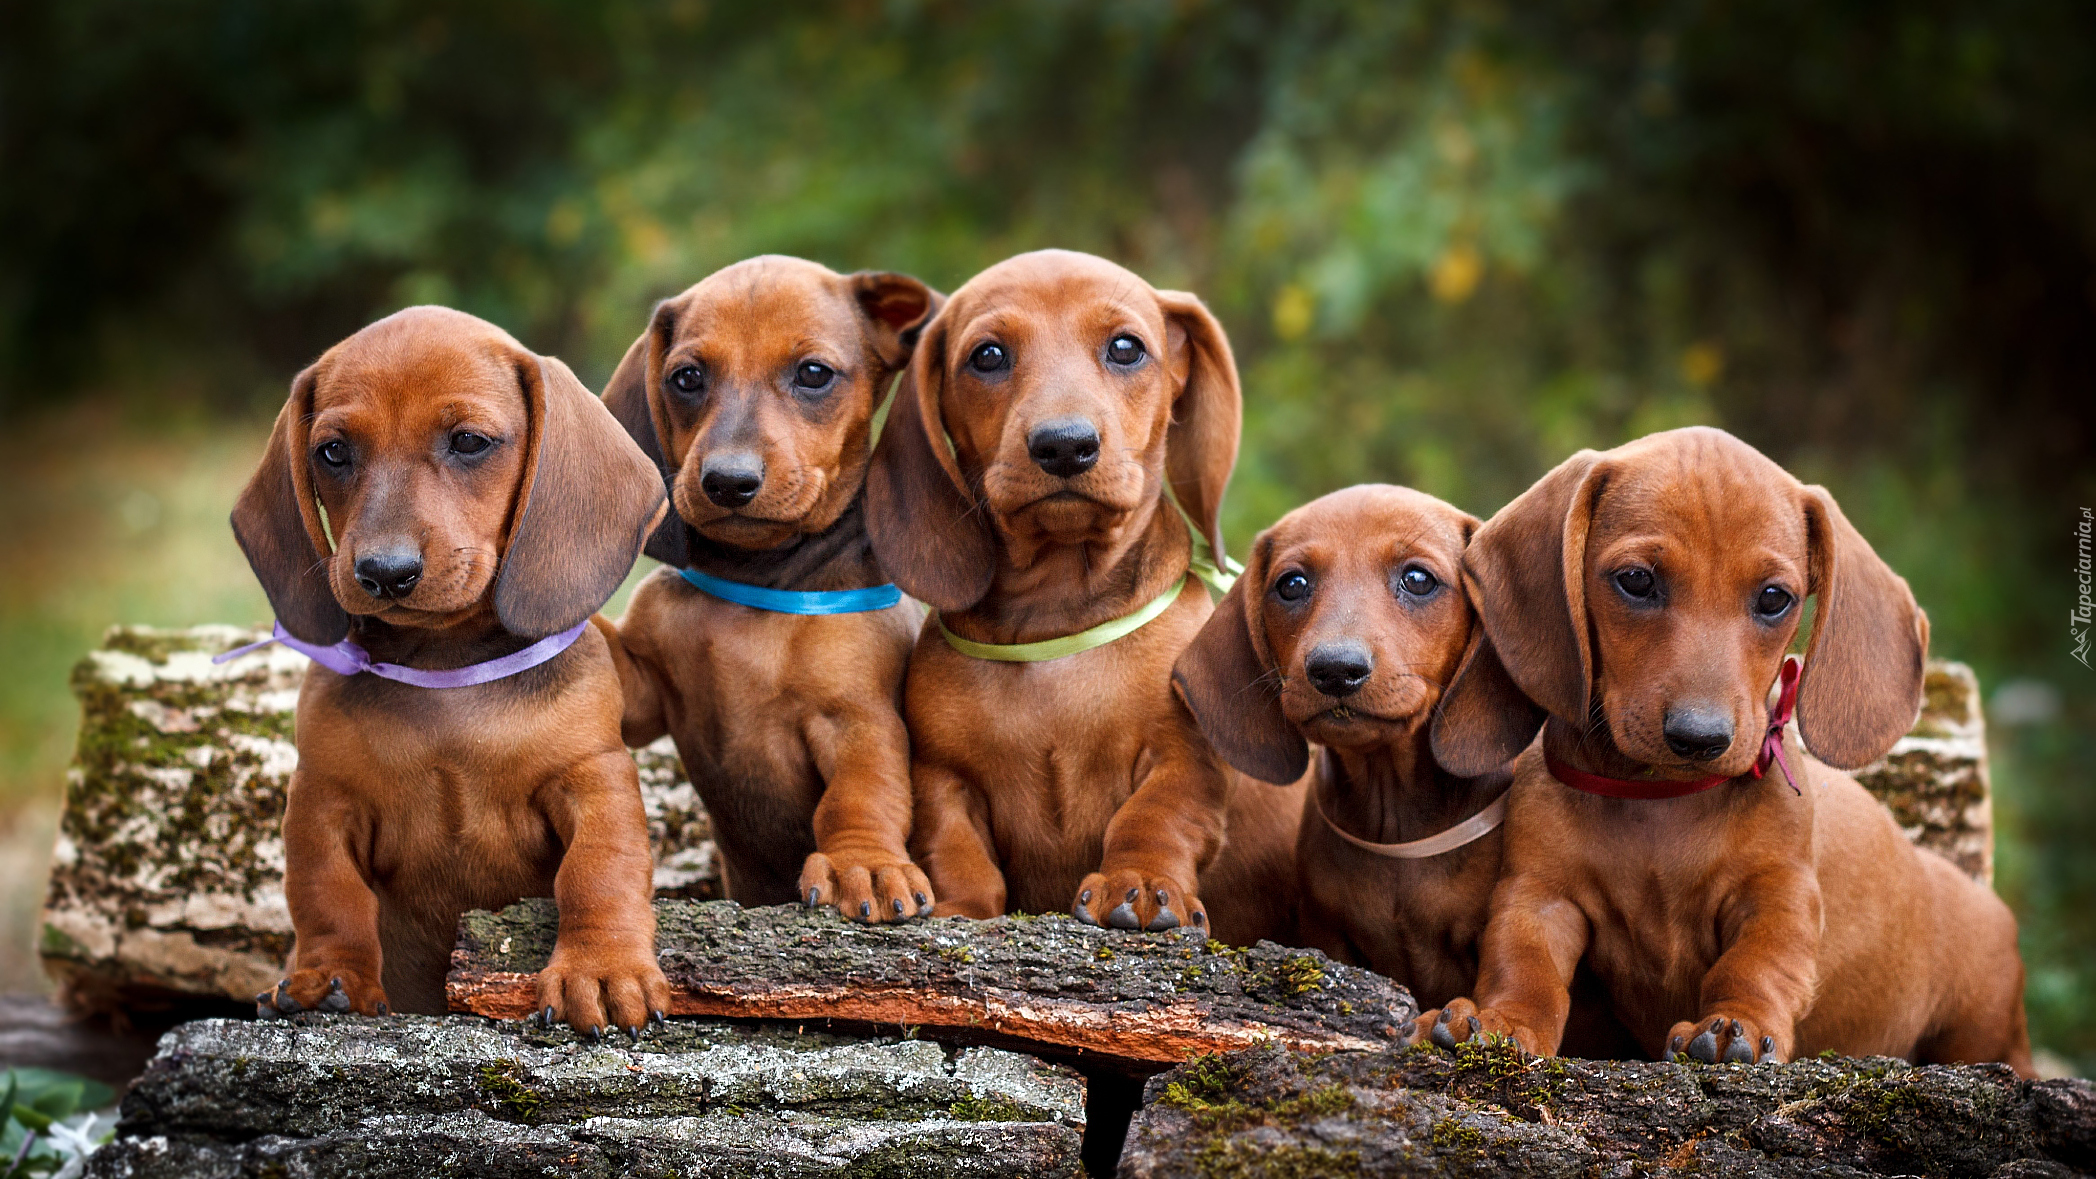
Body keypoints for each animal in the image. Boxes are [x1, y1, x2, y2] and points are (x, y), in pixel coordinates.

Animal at [229, 302, 670, 1027]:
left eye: (469, 441)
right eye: (332, 451)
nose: (385, 572)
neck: (445, 673)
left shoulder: (593, 777)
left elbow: (599, 871)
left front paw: (601, 969)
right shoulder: (323, 797)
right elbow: (327, 894)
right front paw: (330, 974)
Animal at [603, 259, 939, 918]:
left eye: (813, 374)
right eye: (686, 377)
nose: (729, 482)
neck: (755, 581)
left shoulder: (859, 717)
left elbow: (861, 793)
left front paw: (864, 864)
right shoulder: (644, 686)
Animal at [863, 249, 1291, 944]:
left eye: (1125, 348)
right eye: (987, 355)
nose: (1064, 445)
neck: (1055, 621)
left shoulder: (1185, 757)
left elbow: (1155, 816)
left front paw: (1140, 883)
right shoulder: (942, 777)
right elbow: (956, 847)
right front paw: (961, 908)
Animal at [1416, 425, 2020, 1069]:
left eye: (1775, 597)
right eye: (1636, 581)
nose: (1699, 737)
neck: (1659, 802)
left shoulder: (1779, 895)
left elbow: (1756, 965)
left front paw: (1737, 1025)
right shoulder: (1539, 895)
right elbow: (1524, 964)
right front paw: (1503, 1021)